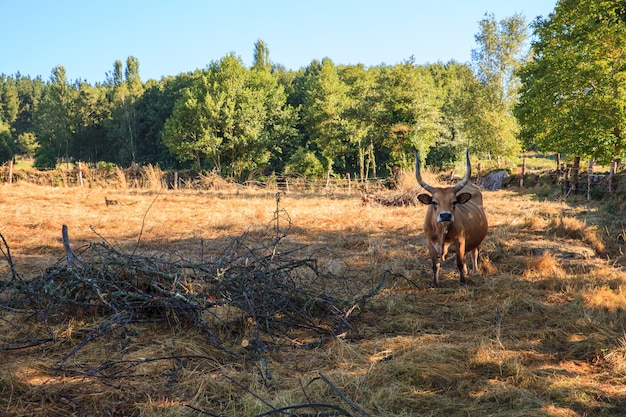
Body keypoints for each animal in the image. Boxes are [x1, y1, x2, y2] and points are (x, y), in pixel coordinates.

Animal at [414, 150, 488, 286]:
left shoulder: (460, 242)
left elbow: (459, 263)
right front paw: (435, 283)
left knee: (473, 253)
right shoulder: (430, 244)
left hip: (476, 239)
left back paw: (474, 271)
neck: (442, 233)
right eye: (434, 202)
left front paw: (462, 280)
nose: (445, 215)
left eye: (454, 202)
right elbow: (435, 265)